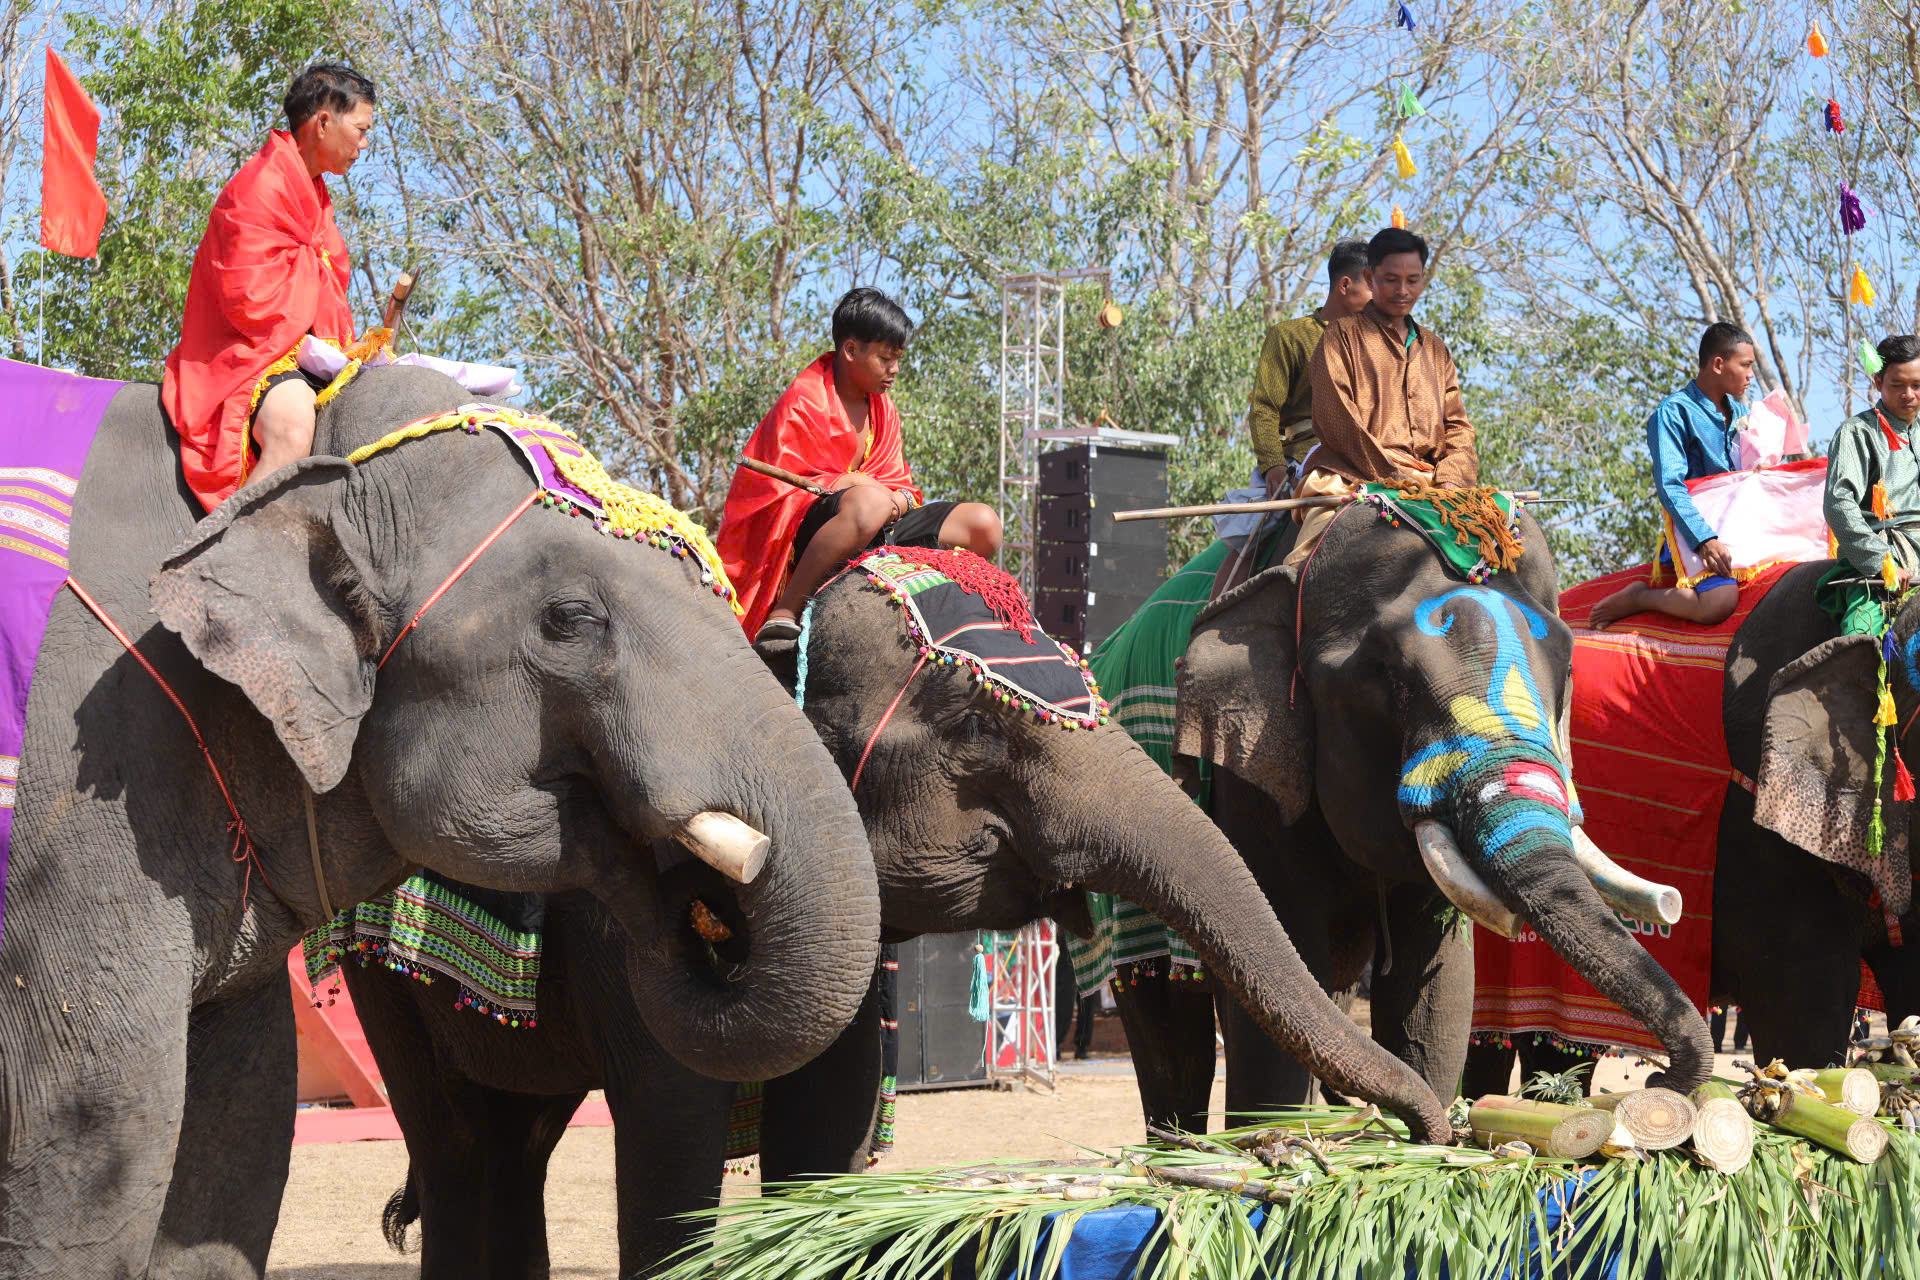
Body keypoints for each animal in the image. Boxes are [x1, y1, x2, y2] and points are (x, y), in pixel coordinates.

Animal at [334, 545, 1451, 1280]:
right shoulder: (620, 915)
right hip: (372, 961)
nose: (1429, 1131)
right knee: (460, 1144)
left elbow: (821, 1130)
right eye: (971, 726)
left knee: (515, 1137)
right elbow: (671, 1127)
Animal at [1113, 506, 1712, 1136]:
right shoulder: (1251, 775)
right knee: (1166, 1030)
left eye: (1568, 670)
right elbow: (1278, 965)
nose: (1657, 1083)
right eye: (1386, 675)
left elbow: (1437, 994)